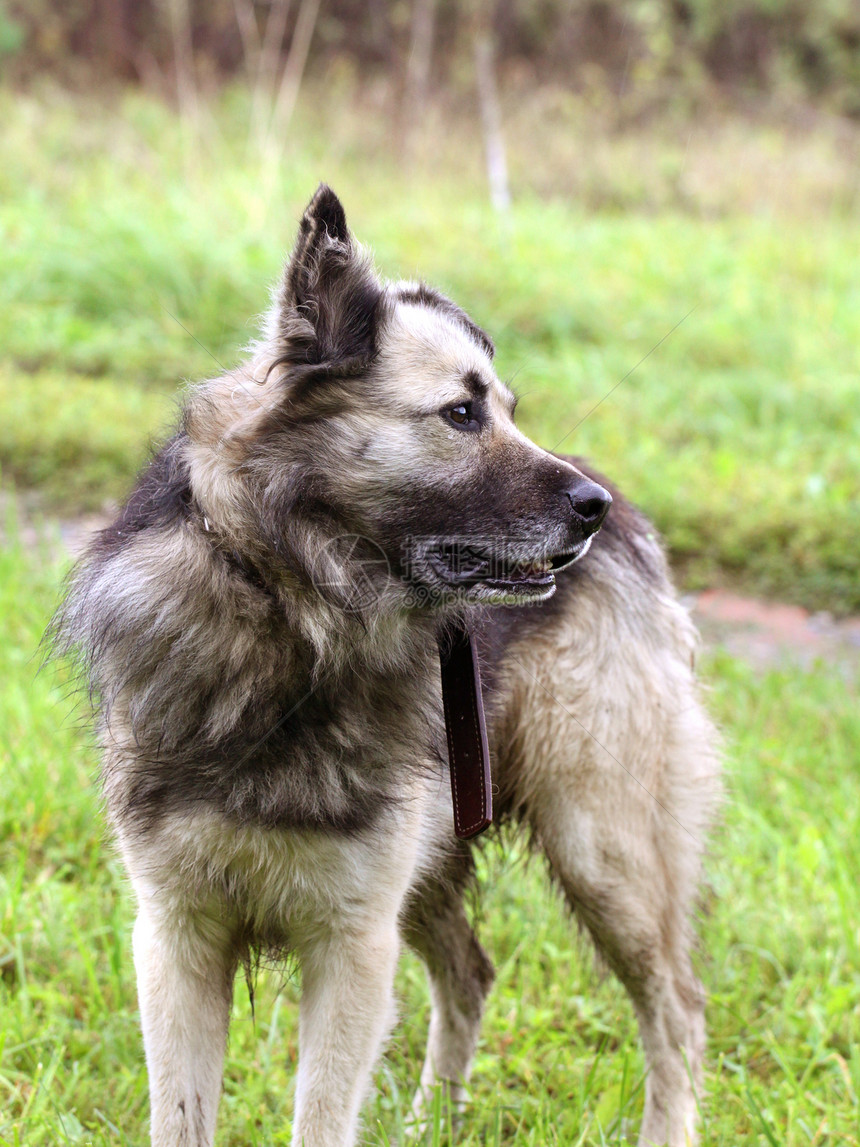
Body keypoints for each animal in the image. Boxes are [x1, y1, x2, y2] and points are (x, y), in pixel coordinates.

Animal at [53, 183, 720, 1142]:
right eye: (463, 413)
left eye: (507, 408)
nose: (589, 509)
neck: (298, 620)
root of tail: (633, 515)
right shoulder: (177, 937)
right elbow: (181, 1116)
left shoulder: (352, 943)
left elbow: (321, 1117)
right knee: (473, 970)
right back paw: (432, 1119)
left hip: (606, 848)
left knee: (677, 1007)